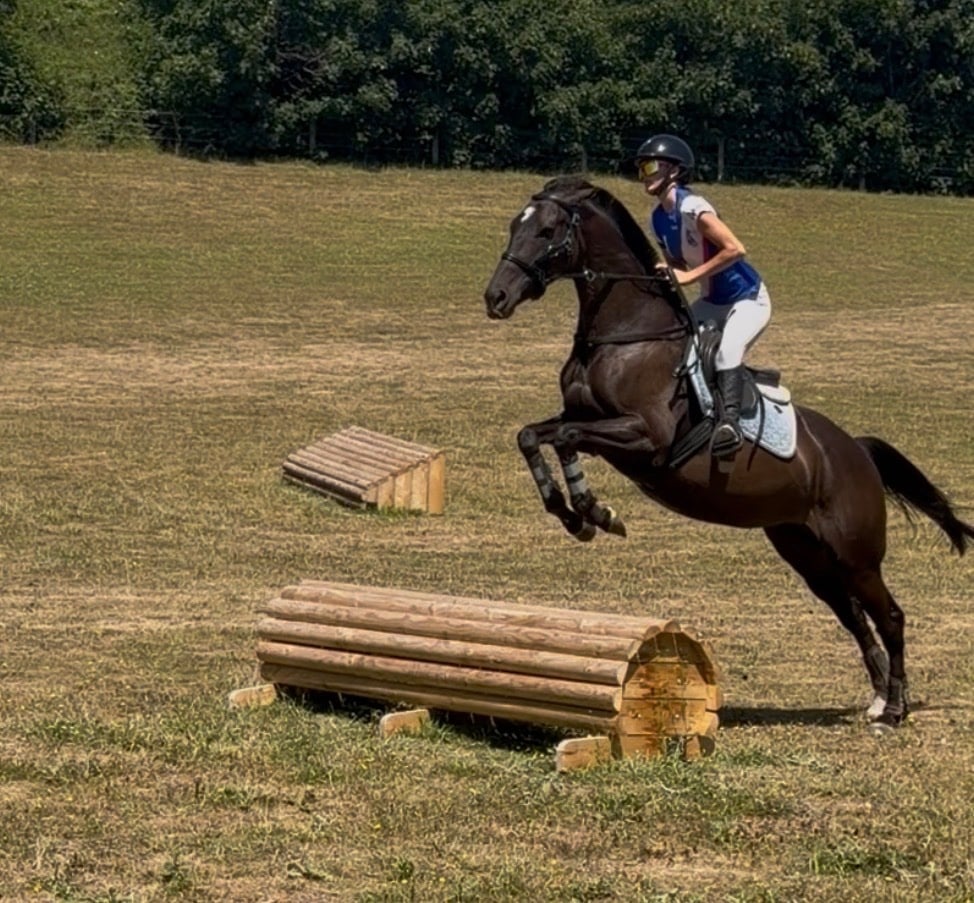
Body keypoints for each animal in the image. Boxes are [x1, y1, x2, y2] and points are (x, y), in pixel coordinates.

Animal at [483, 174, 973, 729]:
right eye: (514, 225)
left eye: (546, 231)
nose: (496, 297)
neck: (625, 333)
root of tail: (857, 452)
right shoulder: (581, 419)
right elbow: (532, 436)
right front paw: (572, 515)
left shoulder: (644, 438)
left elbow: (565, 440)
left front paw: (596, 512)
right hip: (806, 551)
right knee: (853, 616)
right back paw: (876, 699)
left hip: (857, 555)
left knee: (889, 616)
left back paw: (894, 708)